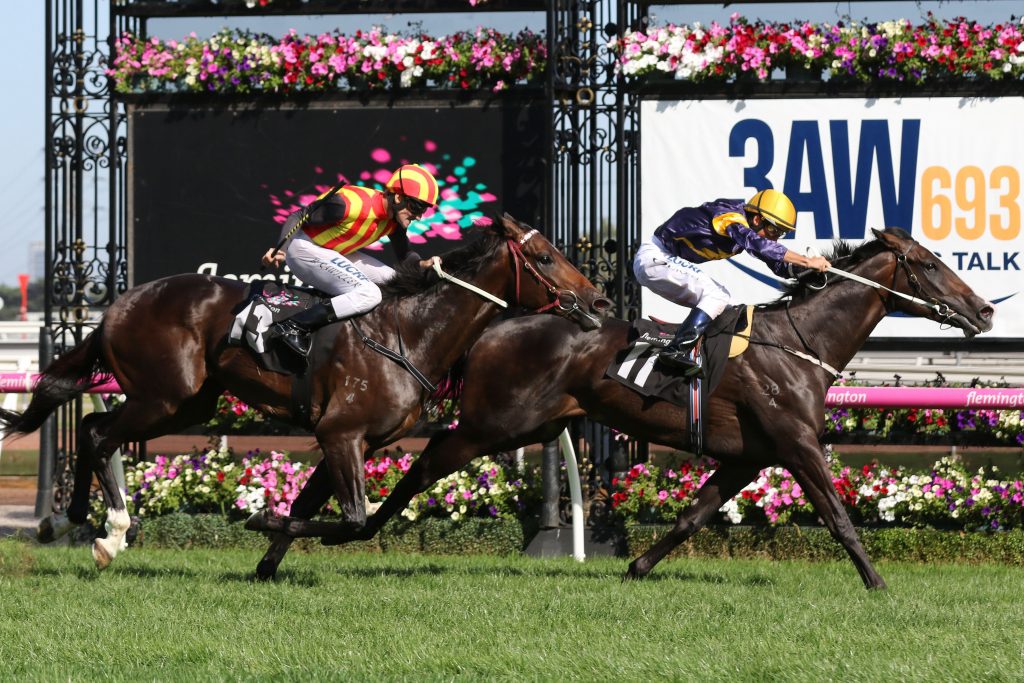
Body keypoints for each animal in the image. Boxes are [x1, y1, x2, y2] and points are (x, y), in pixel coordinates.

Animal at [0, 214, 612, 569]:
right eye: (544, 257)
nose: (599, 301)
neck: (408, 333)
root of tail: (114, 306)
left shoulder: (351, 441)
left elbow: (314, 508)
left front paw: (266, 562)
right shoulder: (341, 433)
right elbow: (355, 520)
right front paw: (259, 520)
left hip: (188, 400)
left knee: (87, 425)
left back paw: (73, 517)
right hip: (164, 397)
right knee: (99, 434)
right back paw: (111, 533)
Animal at [256, 227, 994, 588]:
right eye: (930, 265)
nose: (985, 310)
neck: (798, 343)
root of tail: (495, 324)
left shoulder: (749, 456)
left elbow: (692, 517)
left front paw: (636, 567)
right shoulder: (795, 443)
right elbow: (840, 517)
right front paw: (878, 583)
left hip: (536, 423)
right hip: (494, 423)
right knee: (420, 464)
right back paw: (314, 530)